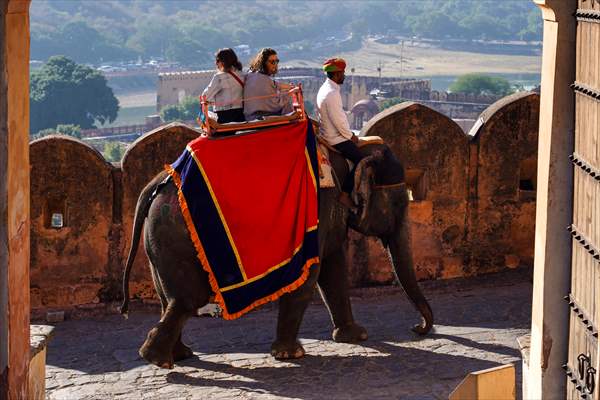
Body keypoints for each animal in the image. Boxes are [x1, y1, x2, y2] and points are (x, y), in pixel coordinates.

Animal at [120, 136, 432, 370]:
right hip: (174, 233)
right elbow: (311, 273)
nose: (417, 328)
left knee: (169, 298)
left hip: (158, 239)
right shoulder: (318, 205)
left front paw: (355, 336)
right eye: (399, 203)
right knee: (188, 299)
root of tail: (158, 180)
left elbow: (334, 268)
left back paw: (179, 355)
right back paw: (158, 359)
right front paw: (290, 355)